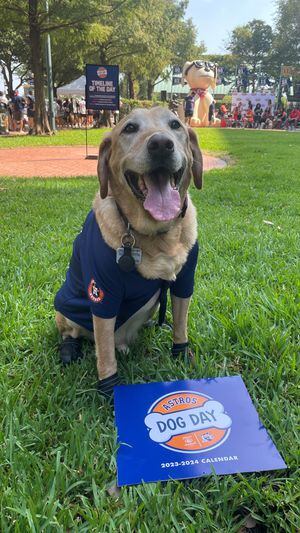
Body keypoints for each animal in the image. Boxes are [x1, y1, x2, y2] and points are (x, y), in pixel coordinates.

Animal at [55, 106, 203, 394]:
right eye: (130, 128)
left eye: (175, 125)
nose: (161, 144)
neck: (157, 233)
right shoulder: (103, 293)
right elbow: (105, 353)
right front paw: (110, 389)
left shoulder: (184, 281)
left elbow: (181, 325)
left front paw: (181, 354)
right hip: (63, 306)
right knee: (73, 333)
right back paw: (69, 348)